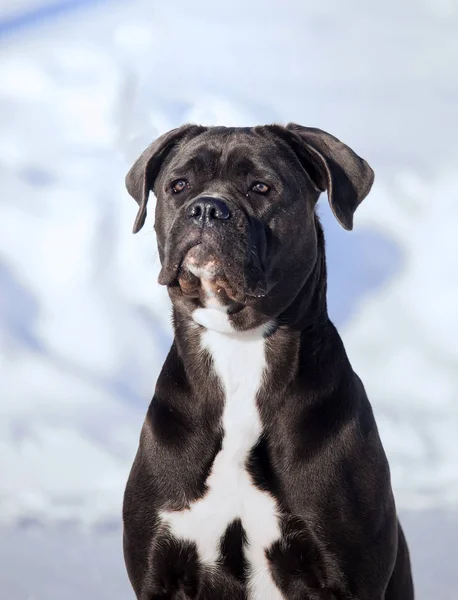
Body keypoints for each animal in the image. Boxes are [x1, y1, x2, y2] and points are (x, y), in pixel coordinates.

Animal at [122, 123, 416, 600]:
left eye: (261, 187)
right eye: (178, 185)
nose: (207, 208)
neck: (239, 350)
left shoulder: (343, 574)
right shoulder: (159, 571)